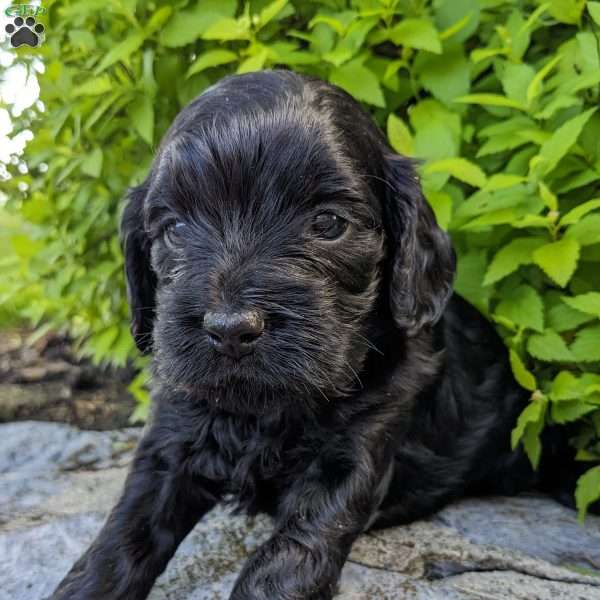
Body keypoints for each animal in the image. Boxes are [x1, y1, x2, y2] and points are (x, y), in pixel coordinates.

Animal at [52, 70, 544, 600]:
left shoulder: (356, 449)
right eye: (175, 228)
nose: (230, 329)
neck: (263, 408)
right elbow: (124, 533)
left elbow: (288, 560)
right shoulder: (172, 432)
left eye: (327, 223)